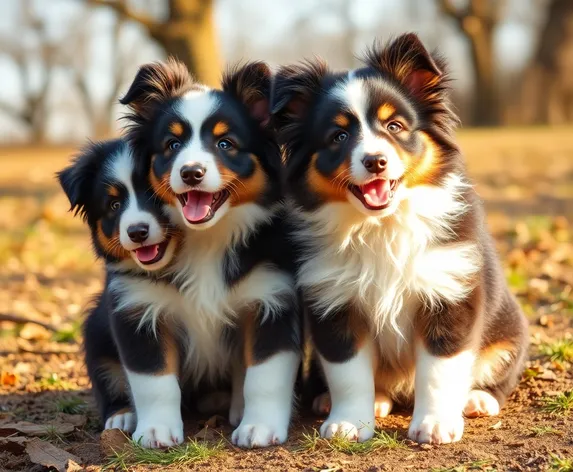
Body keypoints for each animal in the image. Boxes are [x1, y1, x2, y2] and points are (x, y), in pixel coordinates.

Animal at [55, 138, 181, 440]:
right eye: (114, 205)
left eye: (155, 194)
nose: (137, 232)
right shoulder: (126, 307)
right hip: (95, 332)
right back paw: (121, 416)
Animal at [118, 57, 302, 448]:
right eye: (172, 144)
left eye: (225, 142)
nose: (191, 172)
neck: (209, 238)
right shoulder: (146, 306)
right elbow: (155, 380)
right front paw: (156, 430)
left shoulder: (271, 299)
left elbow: (264, 375)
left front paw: (259, 427)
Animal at [272, 35, 528, 444]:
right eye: (339, 136)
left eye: (394, 125)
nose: (375, 161)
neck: (381, 225)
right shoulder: (334, 303)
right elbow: (348, 372)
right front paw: (349, 423)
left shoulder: (449, 292)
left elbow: (440, 368)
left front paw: (435, 424)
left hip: (509, 331)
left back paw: (477, 399)